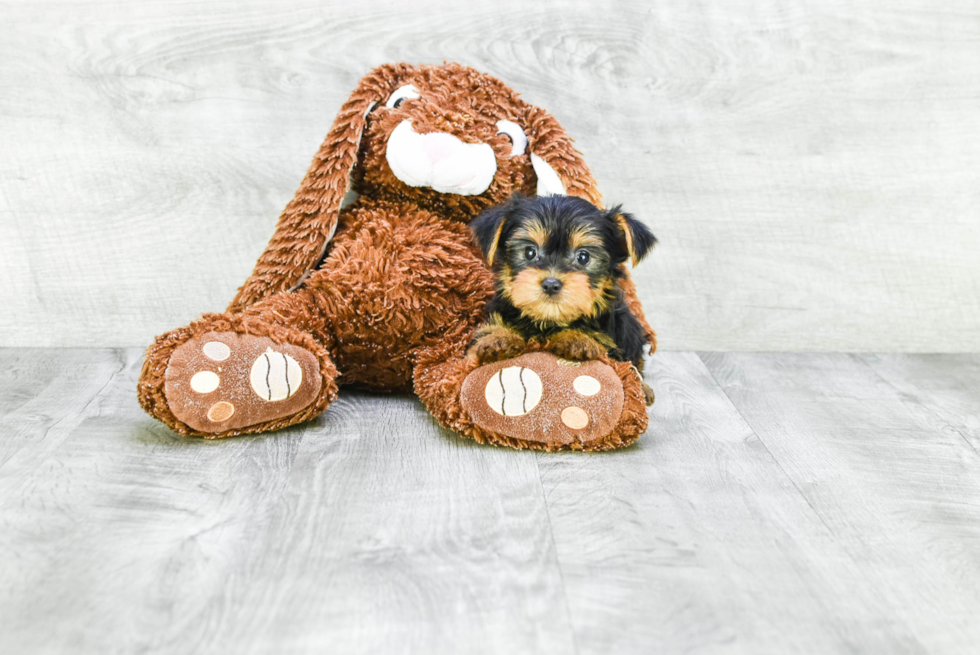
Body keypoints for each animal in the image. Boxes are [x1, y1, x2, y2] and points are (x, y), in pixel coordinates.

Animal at [468, 193, 660, 404]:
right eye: (529, 252)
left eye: (583, 257)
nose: (551, 284)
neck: (548, 320)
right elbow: (482, 337)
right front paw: (498, 338)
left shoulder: (611, 344)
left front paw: (575, 339)